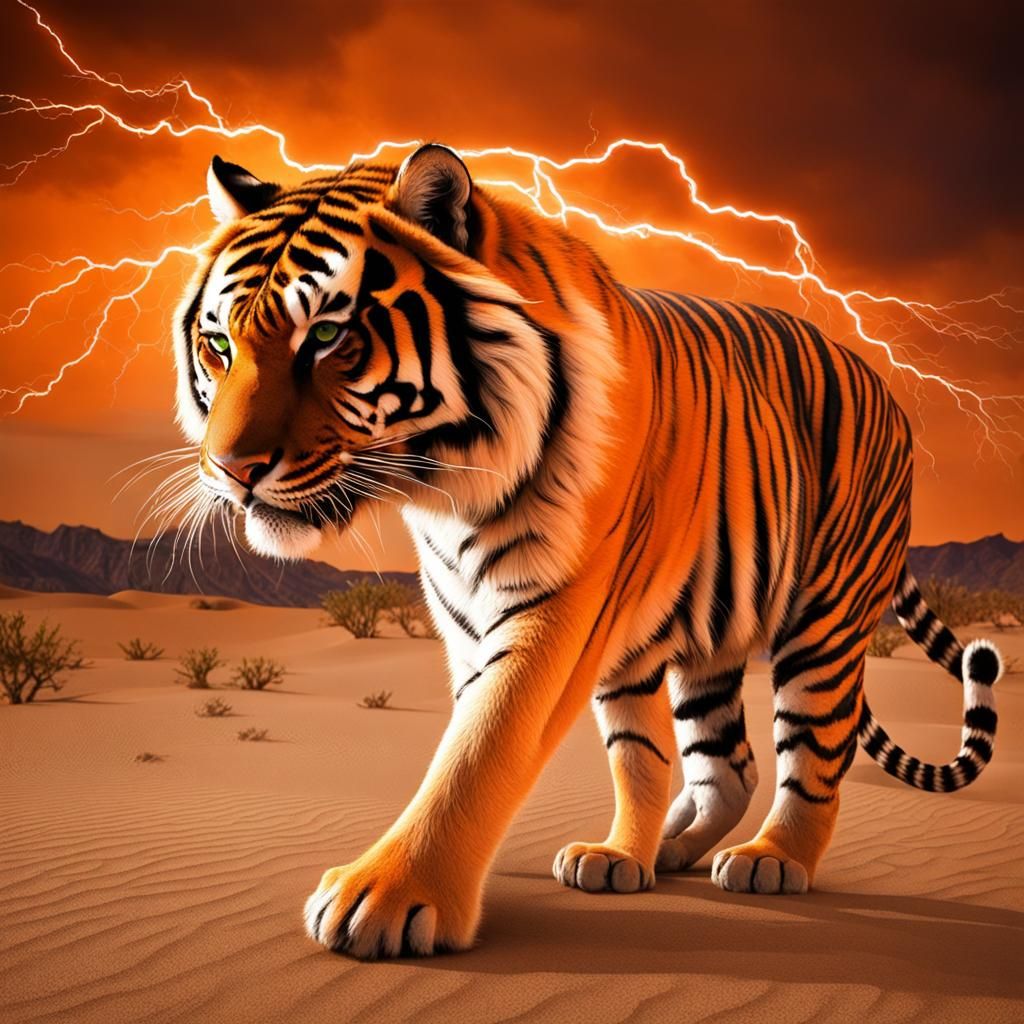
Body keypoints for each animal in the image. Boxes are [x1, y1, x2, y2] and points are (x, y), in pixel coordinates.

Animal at [172, 143, 1003, 959]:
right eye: (219, 345)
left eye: (326, 336)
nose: (232, 470)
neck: (442, 488)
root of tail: (880, 382)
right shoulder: (475, 625)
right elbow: (627, 753)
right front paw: (606, 859)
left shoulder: (558, 610)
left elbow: (481, 750)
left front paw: (387, 897)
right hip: (703, 643)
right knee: (723, 764)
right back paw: (662, 851)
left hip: (823, 620)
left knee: (815, 752)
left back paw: (773, 860)